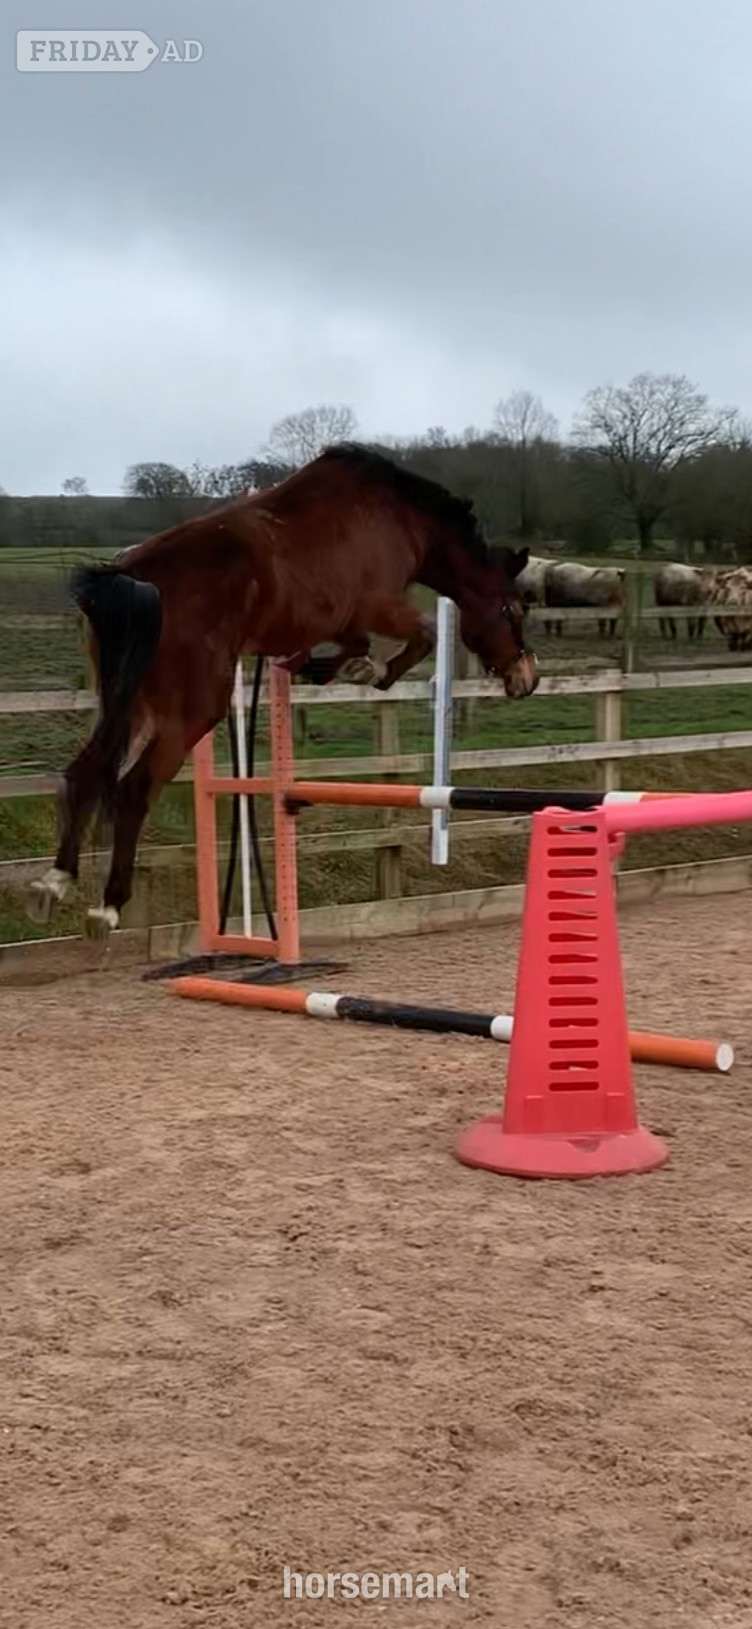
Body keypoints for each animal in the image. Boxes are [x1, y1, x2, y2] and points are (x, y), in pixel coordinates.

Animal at [26, 443, 539, 938]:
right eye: (512, 609)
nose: (527, 678)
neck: (403, 521)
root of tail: (133, 577)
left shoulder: (340, 619)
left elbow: (351, 645)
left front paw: (318, 667)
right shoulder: (377, 605)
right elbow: (423, 634)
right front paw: (368, 671)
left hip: (128, 702)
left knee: (85, 773)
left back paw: (54, 883)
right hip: (191, 708)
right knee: (134, 788)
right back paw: (108, 907)